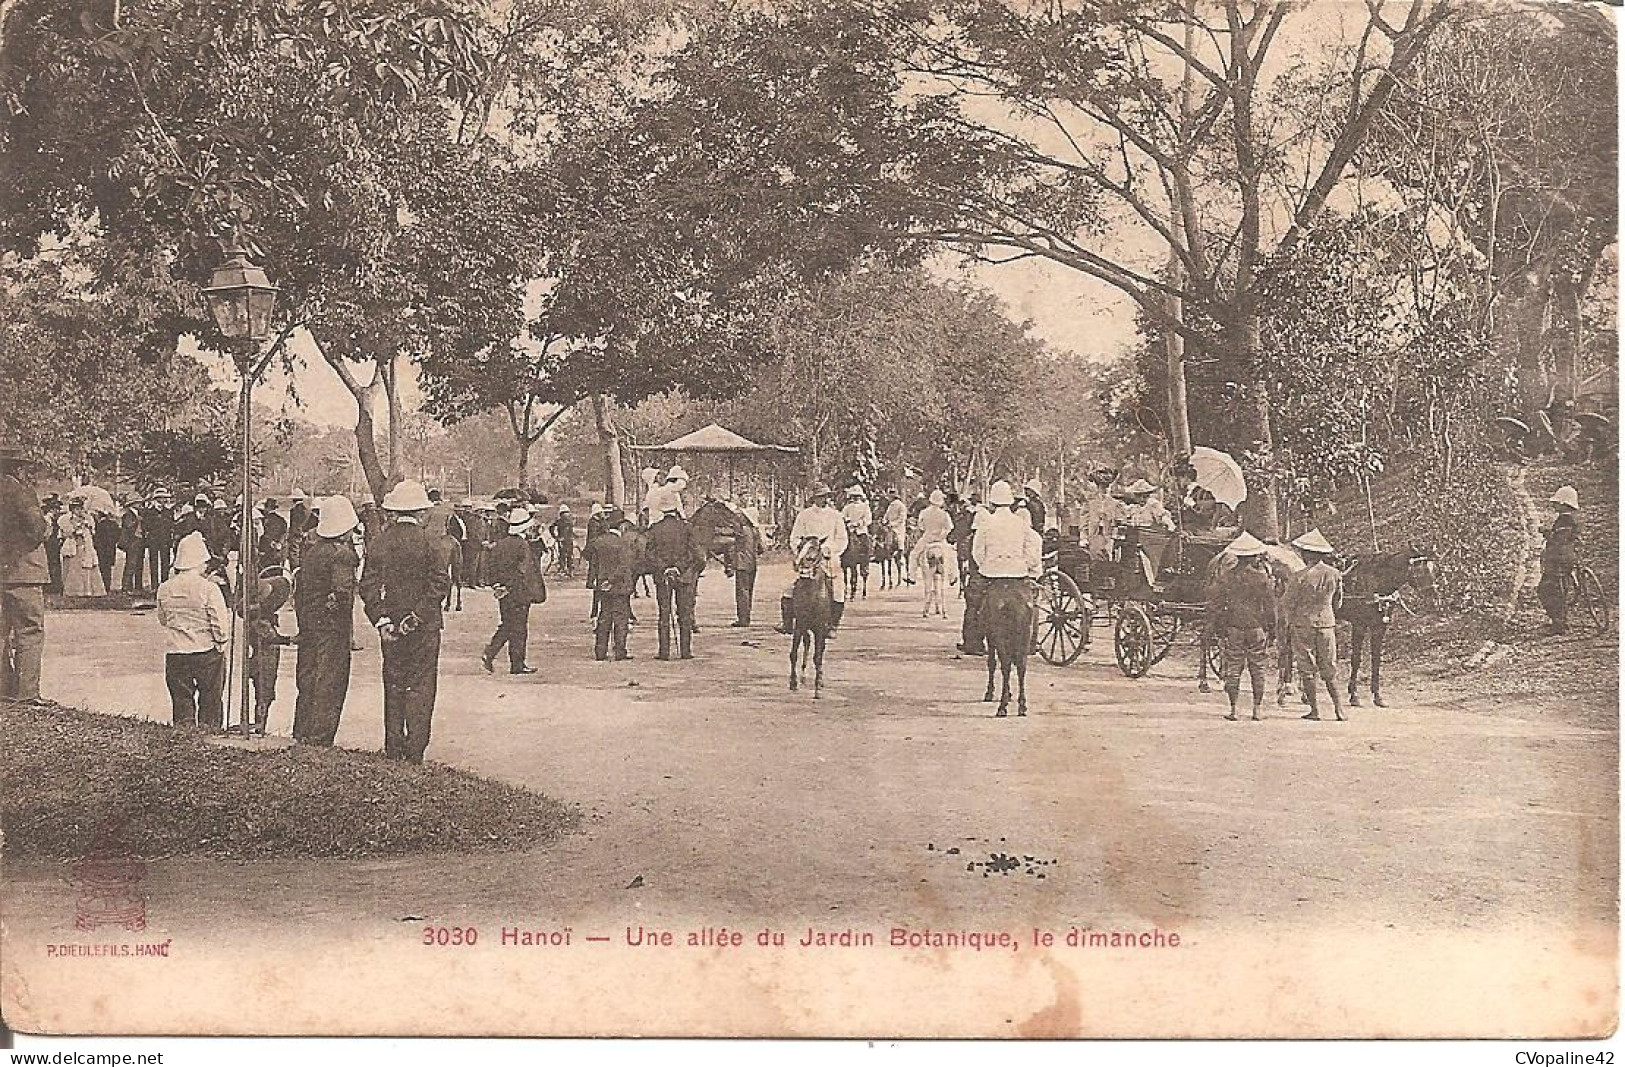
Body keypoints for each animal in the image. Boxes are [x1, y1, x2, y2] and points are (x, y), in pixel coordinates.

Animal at [789, 532, 838, 698]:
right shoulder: (799, 625)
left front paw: (817, 689)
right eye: (799, 546)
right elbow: (794, 653)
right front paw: (793, 683)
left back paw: (820, 680)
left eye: (815, 548)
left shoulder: (820, 629)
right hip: (806, 629)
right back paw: (803, 677)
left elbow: (817, 657)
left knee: (820, 652)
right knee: (807, 644)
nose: (799, 565)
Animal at [981, 574, 1033, 714]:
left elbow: (992, 663)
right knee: (1021, 666)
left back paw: (1002, 707)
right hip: (1025, 637)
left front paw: (990, 693)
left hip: (1000, 636)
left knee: (1005, 665)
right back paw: (1022, 705)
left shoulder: (991, 637)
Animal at [1332, 548, 1436, 708]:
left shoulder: (1380, 627)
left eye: (1432, 568)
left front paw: (1377, 696)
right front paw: (1354, 695)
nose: (1434, 599)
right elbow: (1356, 659)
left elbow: (1376, 659)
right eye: (1420, 570)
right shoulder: (1359, 625)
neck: (1375, 580)